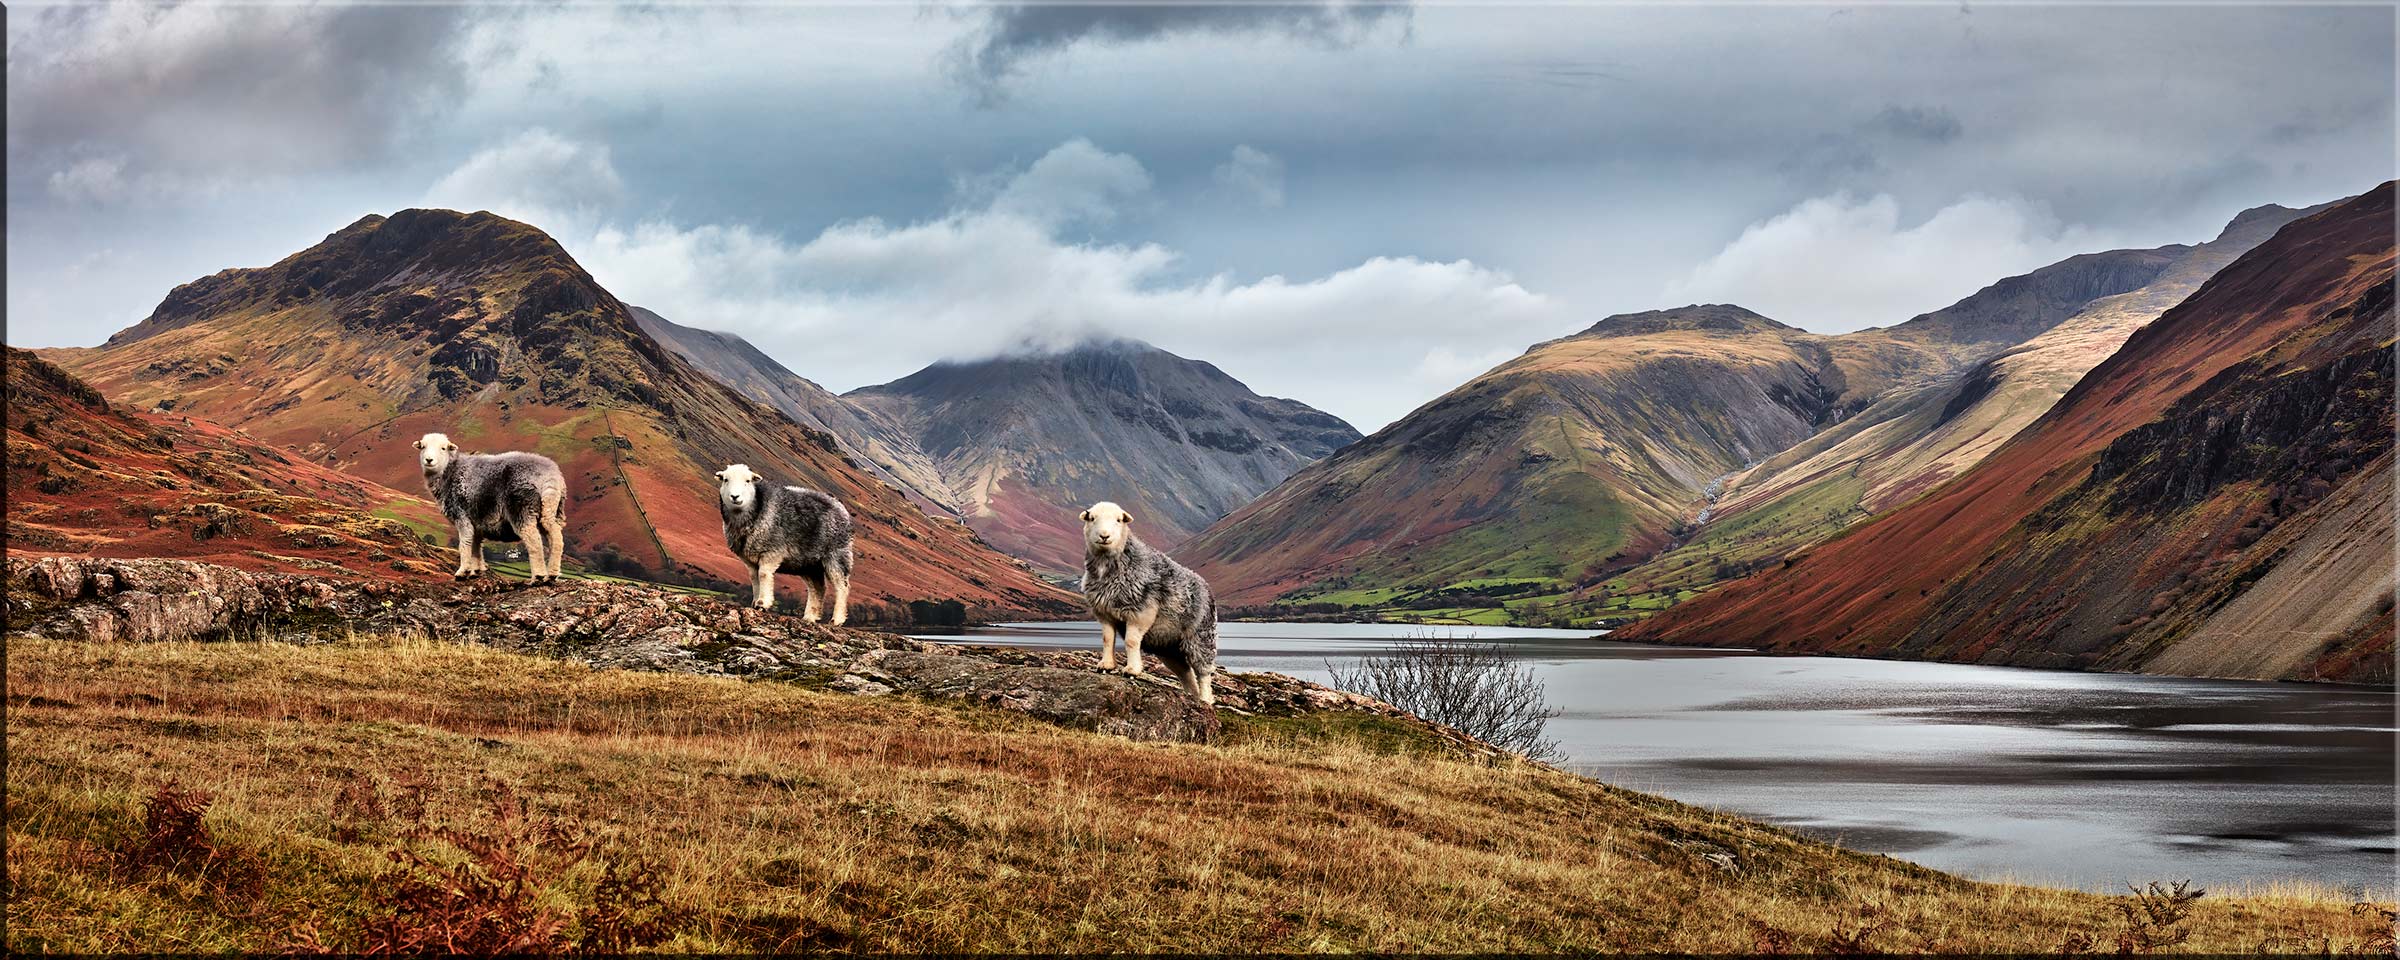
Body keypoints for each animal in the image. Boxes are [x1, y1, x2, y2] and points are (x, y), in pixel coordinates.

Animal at [414, 432, 567, 584]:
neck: (450, 471)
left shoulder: (462, 516)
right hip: (551, 509)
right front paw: (476, 571)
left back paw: (538, 577)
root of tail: (549, 476)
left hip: (521, 508)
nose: (429, 460)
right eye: (423, 447)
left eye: (443, 448)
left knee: (534, 541)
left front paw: (462, 572)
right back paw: (552, 575)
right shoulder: (476, 521)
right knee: (555, 537)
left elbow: (464, 544)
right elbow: (476, 546)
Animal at [715, 464, 854, 622]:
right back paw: (810, 617)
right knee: (818, 588)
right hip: (809, 564)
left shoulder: (772, 551)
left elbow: (763, 574)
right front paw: (755, 602)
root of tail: (840, 507)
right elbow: (754, 577)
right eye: (725, 479)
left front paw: (763, 603)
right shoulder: (749, 559)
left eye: (748, 481)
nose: (735, 496)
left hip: (836, 555)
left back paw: (837, 619)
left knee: (842, 587)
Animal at [1079, 501, 1217, 704]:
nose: (1104, 536)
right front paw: (1106, 665)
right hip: (1169, 646)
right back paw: (1192, 697)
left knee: (1203, 672)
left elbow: (1131, 641)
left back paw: (1206, 699)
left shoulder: (1140, 611)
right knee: (1186, 673)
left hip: (1200, 636)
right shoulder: (1104, 612)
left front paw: (1132, 670)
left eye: (1118, 520)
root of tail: (1206, 585)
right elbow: (1107, 639)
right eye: (1092, 518)